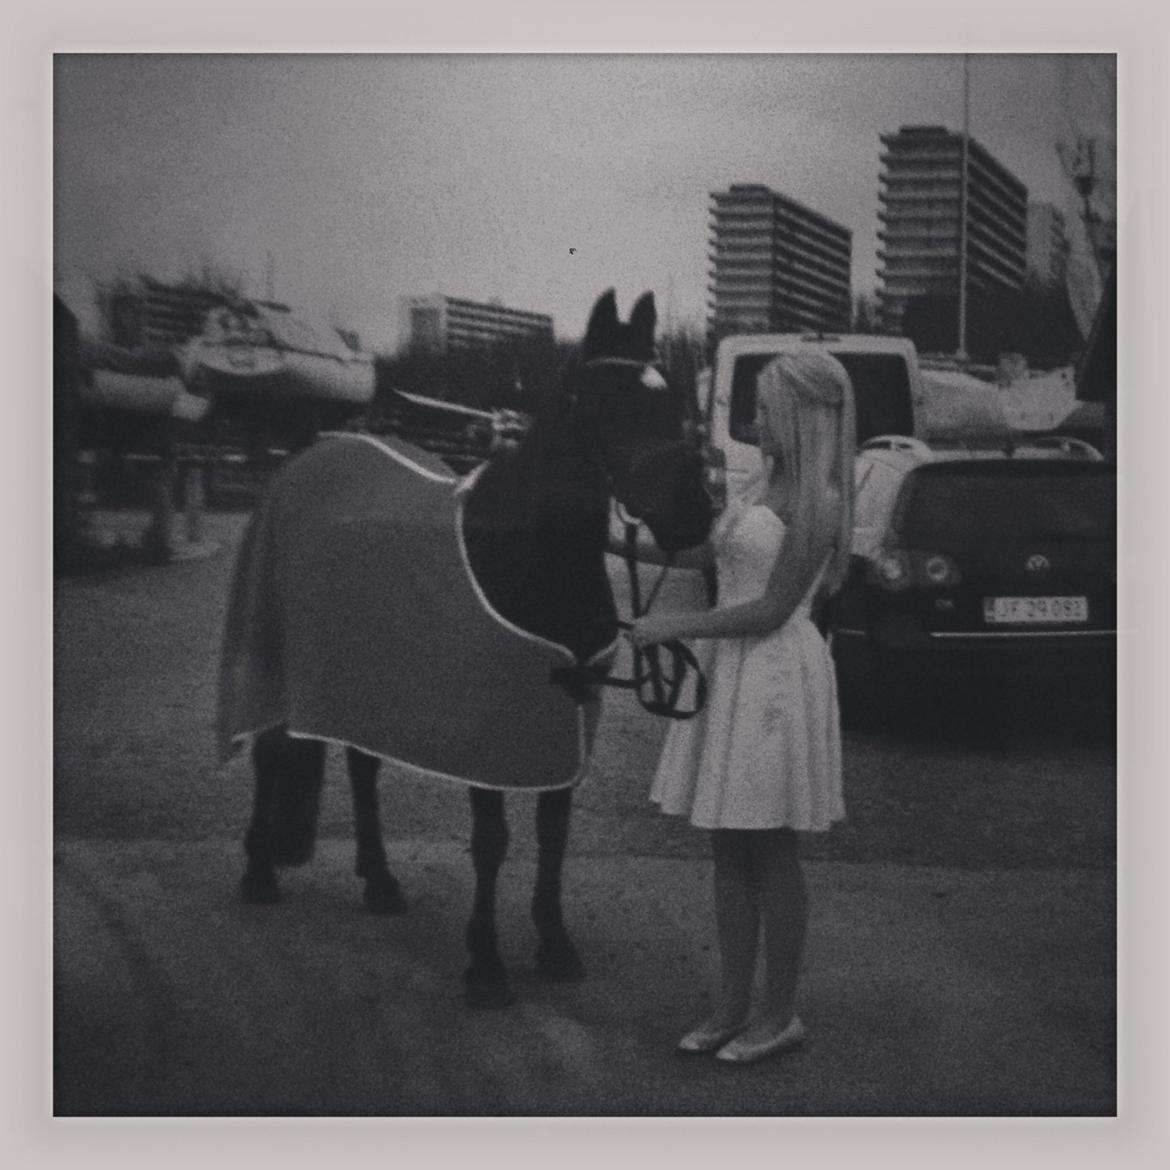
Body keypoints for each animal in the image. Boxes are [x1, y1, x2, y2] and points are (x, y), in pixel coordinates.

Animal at [218, 288, 714, 1008]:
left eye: (670, 396)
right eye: (606, 399)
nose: (694, 513)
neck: (528, 559)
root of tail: (307, 459)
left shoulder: (561, 721)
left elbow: (553, 834)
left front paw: (555, 945)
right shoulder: (491, 725)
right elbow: (492, 841)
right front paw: (485, 965)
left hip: (365, 671)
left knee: (362, 768)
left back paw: (380, 881)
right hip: (280, 650)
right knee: (271, 751)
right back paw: (259, 870)